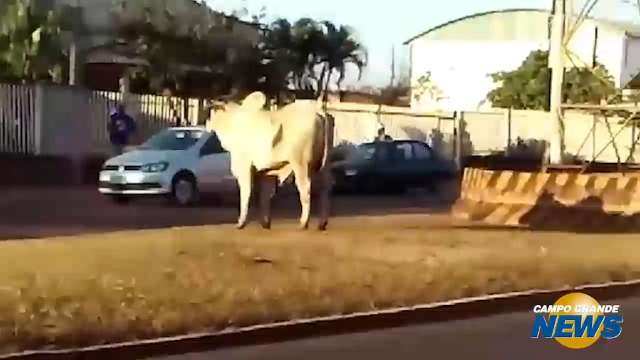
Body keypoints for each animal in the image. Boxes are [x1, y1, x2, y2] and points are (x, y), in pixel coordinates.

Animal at [209, 91, 336, 229]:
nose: (209, 122)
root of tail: (318, 109)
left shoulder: (244, 167)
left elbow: (246, 193)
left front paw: (241, 222)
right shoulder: (266, 172)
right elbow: (265, 196)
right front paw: (265, 223)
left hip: (300, 163)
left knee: (305, 189)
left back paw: (303, 223)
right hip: (325, 165)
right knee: (325, 189)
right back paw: (322, 223)